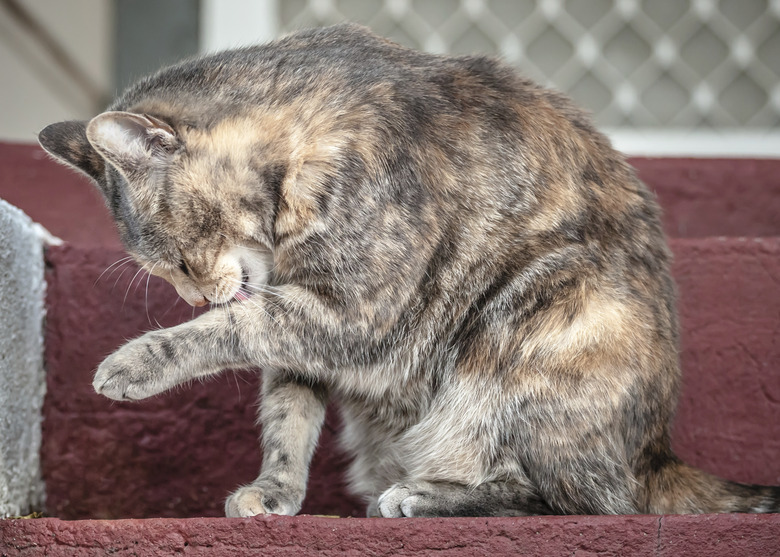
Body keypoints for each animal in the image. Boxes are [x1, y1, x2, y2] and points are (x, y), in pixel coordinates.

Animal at [39, 23, 776, 516]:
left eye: (181, 259)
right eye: (166, 272)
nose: (193, 297)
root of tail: (657, 454)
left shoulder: (350, 311)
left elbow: (233, 330)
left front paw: (132, 363)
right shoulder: (305, 325)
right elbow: (286, 413)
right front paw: (275, 492)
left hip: (530, 319)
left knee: (585, 499)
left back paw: (425, 494)